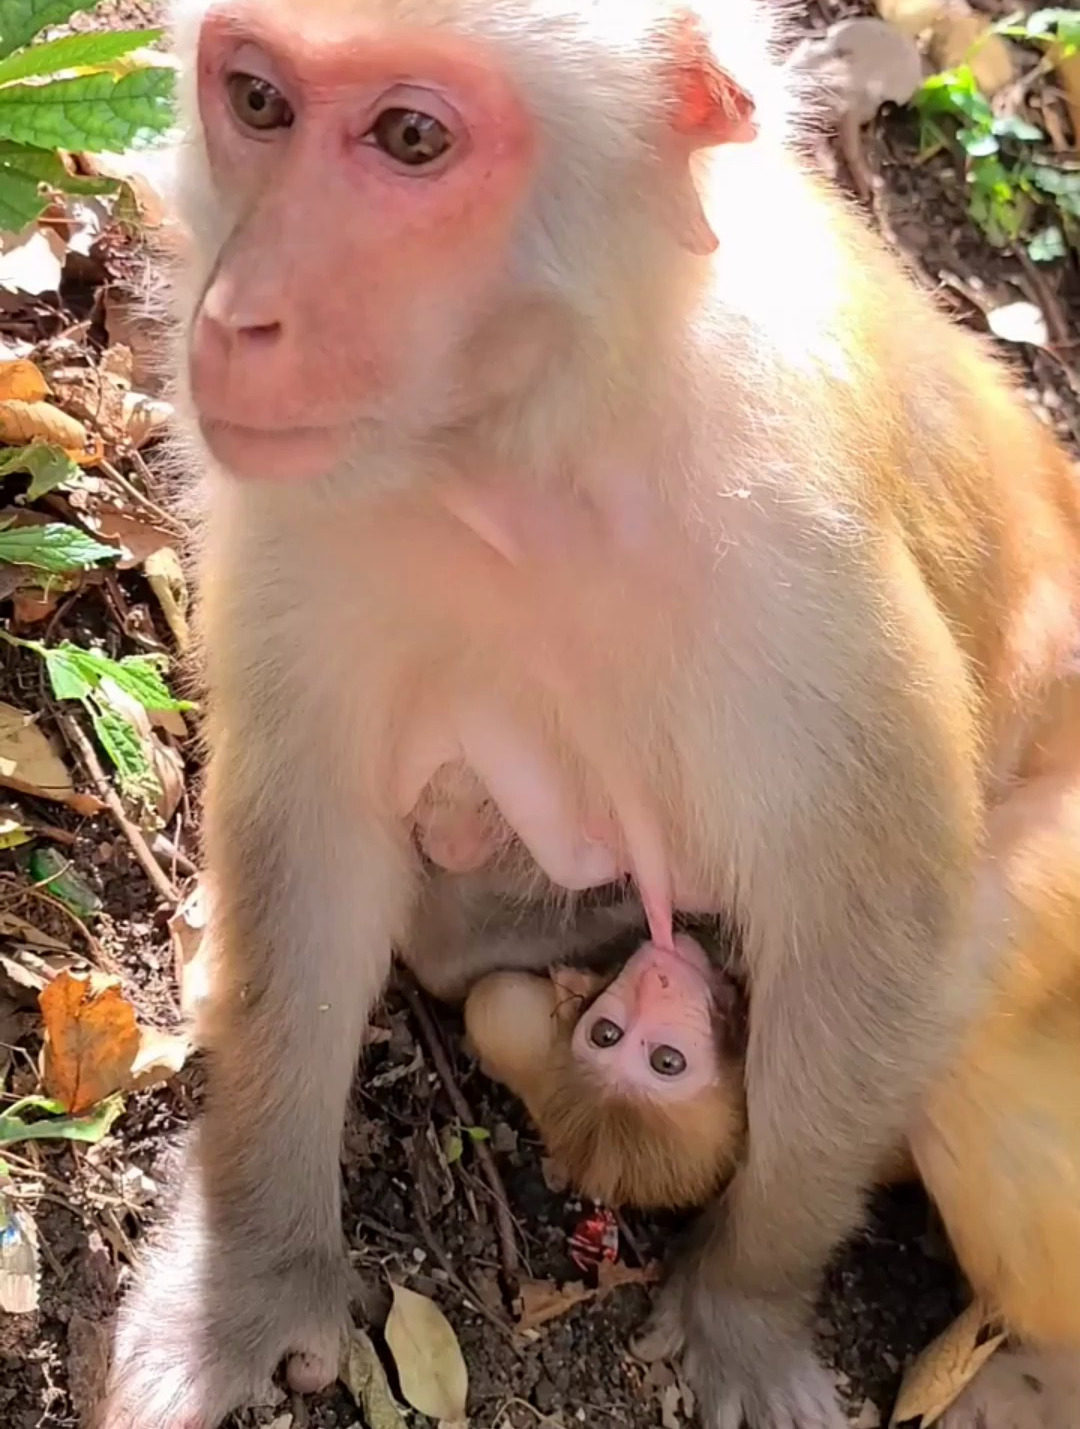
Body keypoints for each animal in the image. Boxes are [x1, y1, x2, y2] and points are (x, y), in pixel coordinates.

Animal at [103, 2, 1080, 1429]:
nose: (236, 317)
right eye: (260, 102)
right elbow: (315, 840)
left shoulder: (802, 553)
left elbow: (877, 926)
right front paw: (255, 1268)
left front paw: (744, 1308)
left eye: (412, 137)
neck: (533, 447)